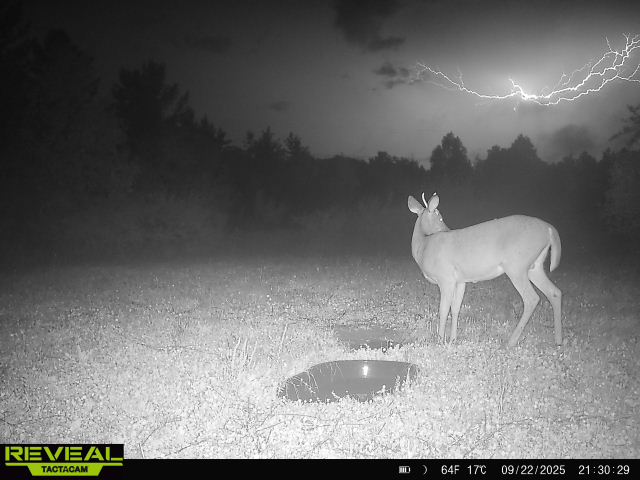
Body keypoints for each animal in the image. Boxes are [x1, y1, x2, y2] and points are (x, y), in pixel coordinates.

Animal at [408, 192, 562, 347]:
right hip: (534, 267)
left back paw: (511, 342)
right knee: (555, 292)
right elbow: (456, 308)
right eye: (440, 218)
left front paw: (440, 340)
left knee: (531, 298)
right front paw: (453, 339)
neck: (423, 247)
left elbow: (443, 309)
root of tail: (550, 229)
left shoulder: (446, 277)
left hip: (516, 265)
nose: (447, 229)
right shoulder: (460, 281)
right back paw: (558, 340)